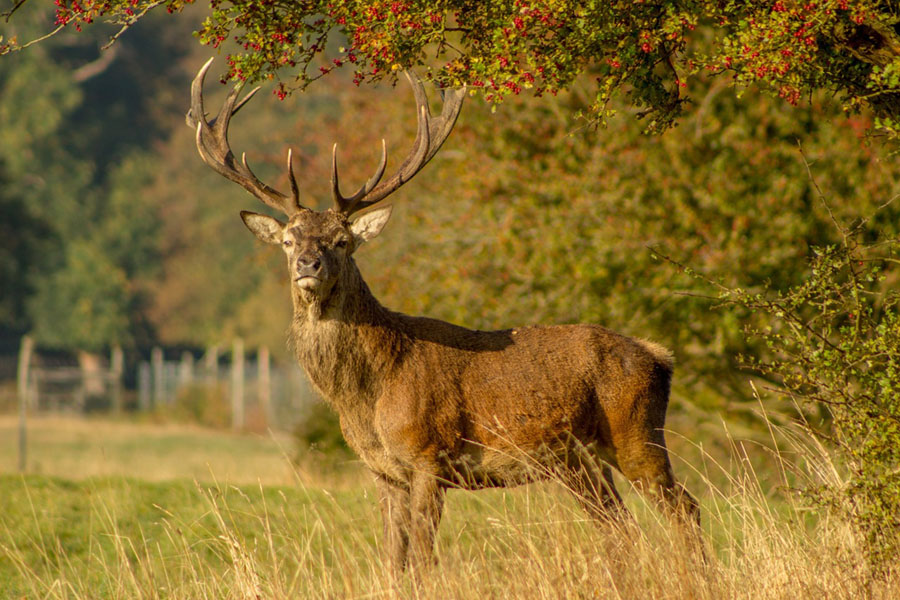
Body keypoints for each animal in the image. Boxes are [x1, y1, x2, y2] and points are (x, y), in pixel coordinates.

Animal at [187, 58, 700, 574]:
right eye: (289, 240)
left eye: (342, 241)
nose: (307, 265)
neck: (367, 396)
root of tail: (660, 357)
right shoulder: (384, 473)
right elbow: (393, 559)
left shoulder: (428, 456)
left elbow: (422, 558)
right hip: (579, 461)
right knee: (622, 529)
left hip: (637, 432)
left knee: (685, 509)